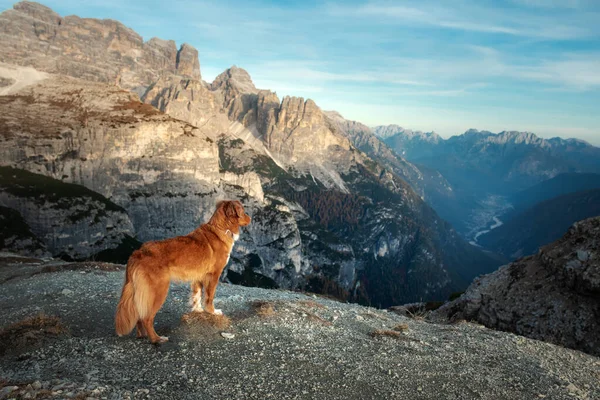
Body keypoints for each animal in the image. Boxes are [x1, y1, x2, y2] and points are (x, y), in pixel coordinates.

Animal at [114, 200, 251, 344]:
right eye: (242, 211)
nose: (250, 218)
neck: (221, 228)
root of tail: (137, 253)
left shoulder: (198, 276)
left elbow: (196, 295)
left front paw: (198, 310)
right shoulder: (214, 275)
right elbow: (209, 296)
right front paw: (212, 311)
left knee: (139, 315)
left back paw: (142, 335)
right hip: (158, 291)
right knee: (146, 318)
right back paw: (156, 339)